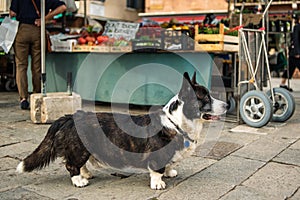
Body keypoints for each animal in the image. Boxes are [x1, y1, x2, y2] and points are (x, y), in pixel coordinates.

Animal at [17, 71, 227, 189]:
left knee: (79, 164)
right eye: (205, 98)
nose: (227, 105)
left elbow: (168, 165)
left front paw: (170, 172)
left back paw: (86, 174)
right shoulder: (156, 156)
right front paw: (158, 183)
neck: (176, 122)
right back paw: (79, 181)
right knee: (71, 165)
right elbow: (157, 170)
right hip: (79, 149)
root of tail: (69, 117)